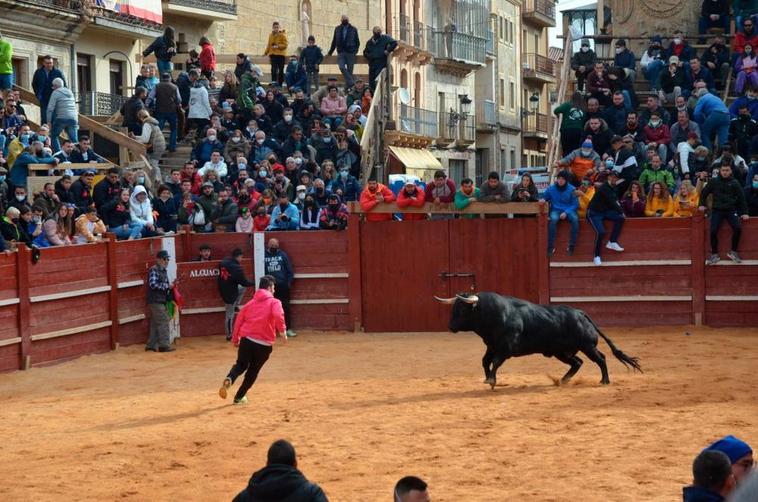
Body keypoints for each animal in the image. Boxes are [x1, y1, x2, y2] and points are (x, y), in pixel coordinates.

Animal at [436, 292, 644, 390]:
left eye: (462, 310)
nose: (450, 327)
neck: (493, 315)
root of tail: (580, 313)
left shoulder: (505, 349)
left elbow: (494, 363)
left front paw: (492, 380)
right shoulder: (492, 346)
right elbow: (485, 362)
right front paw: (489, 379)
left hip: (587, 346)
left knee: (600, 359)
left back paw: (605, 381)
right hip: (562, 352)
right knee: (577, 363)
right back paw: (563, 380)